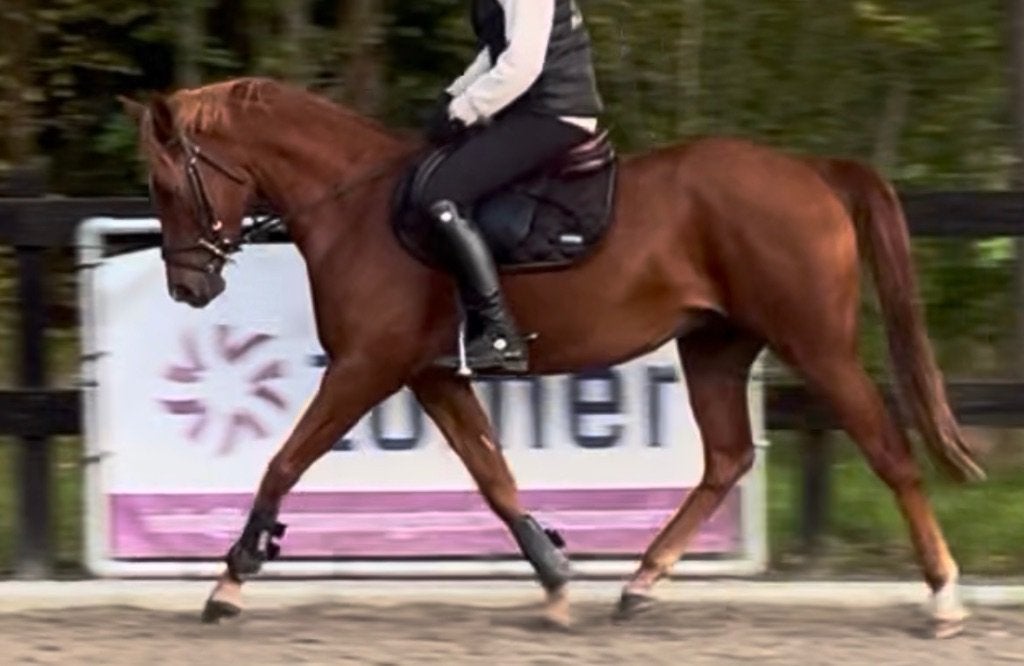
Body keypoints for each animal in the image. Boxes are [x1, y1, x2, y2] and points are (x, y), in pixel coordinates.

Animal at [118, 76, 984, 637]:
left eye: (167, 185)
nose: (188, 287)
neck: (355, 207)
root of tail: (811, 170)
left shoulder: (366, 367)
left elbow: (284, 461)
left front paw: (231, 581)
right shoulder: (431, 375)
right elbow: (494, 477)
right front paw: (558, 583)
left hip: (816, 342)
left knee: (887, 449)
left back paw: (944, 597)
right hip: (715, 345)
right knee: (728, 459)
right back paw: (640, 584)